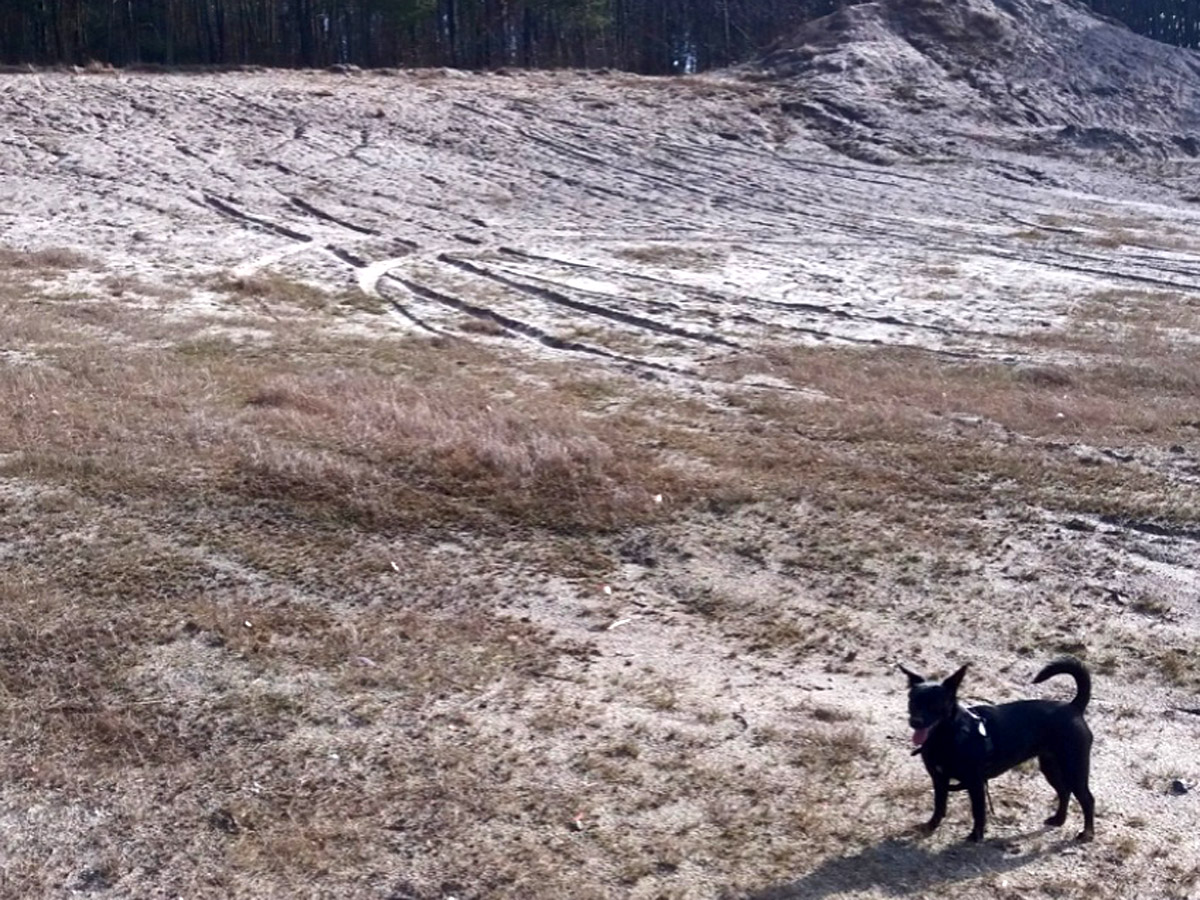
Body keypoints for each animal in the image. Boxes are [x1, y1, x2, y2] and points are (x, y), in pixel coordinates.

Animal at [902, 657, 1099, 844]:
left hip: (1074, 769)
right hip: (1051, 767)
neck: (946, 735)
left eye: (935, 704)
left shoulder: (975, 783)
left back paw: (1087, 833)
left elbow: (978, 812)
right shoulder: (939, 779)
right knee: (1064, 791)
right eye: (912, 701)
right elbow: (939, 806)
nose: (915, 721)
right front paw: (931, 826)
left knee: (1087, 799)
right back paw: (1059, 820)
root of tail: (1074, 707)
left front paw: (976, 836)